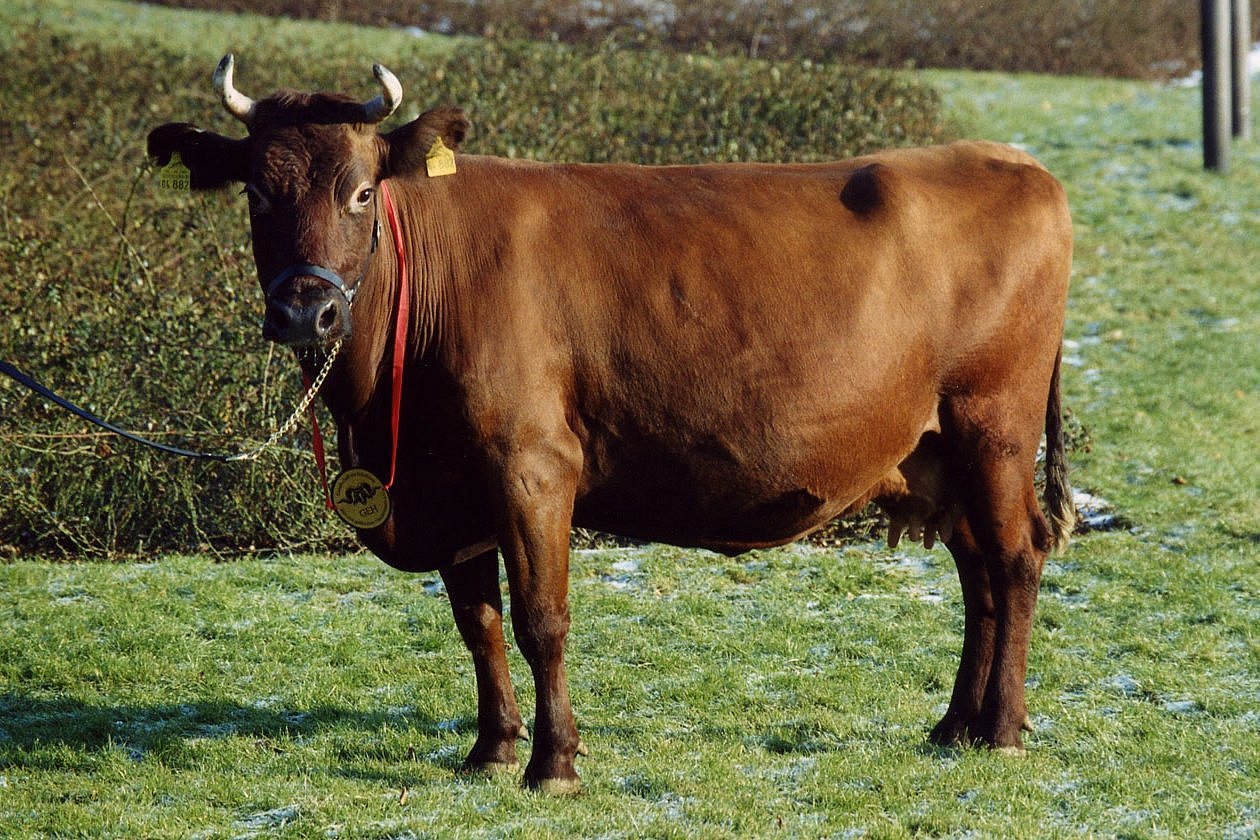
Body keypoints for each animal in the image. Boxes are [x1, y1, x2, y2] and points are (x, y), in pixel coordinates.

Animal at [147, 55, 1073, 790]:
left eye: (362, 190)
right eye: (256, 193)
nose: (306, 312)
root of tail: (1012, 161)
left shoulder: (530, 464)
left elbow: (540, 620)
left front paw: (552, 763)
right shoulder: (453, 484)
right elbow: (478, 623)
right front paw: (490, 750)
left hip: (993, 422)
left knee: (1015, 559)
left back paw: (1001, 730)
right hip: (937, 449)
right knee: (977, 569)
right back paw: (954, 726)